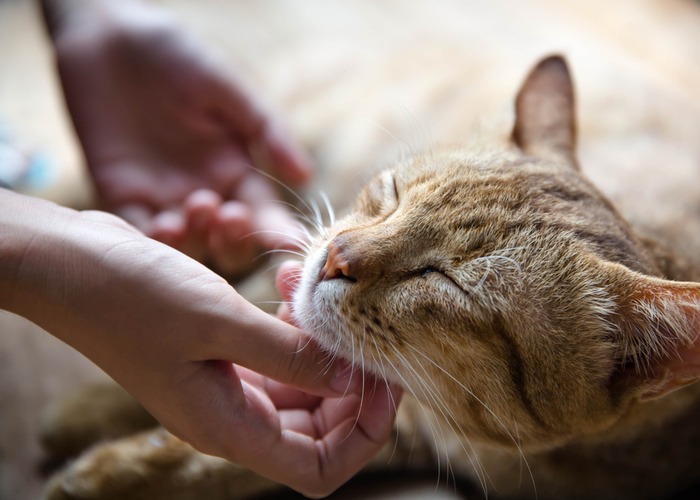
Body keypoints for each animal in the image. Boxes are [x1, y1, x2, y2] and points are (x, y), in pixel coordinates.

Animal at [37, 56, 700, 500]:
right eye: (395, 193)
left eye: (444, 281)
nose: (337, 256)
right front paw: (92, 414)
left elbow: (216, 459)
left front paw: (105, 472)